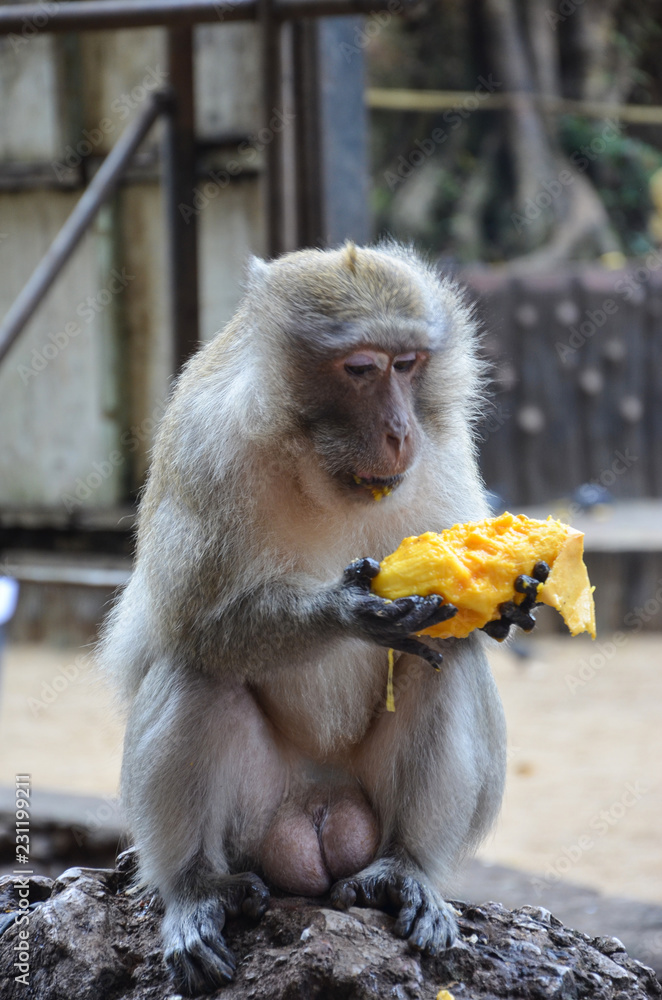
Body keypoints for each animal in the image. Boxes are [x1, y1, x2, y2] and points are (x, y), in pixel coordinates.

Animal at [99, 241, 514, 995]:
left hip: (363, 803)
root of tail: (319, 811)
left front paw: (512, 597)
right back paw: (194, 889)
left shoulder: (442, 449)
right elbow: (190, 623)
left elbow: (459, 619)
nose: (399, 431)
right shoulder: (204, 445)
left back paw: (406, 868)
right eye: (361, 369)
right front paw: (349, 610)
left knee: (443, 661)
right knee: (201, 667)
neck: (314, 468)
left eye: (408, 365)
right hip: (256, 817)